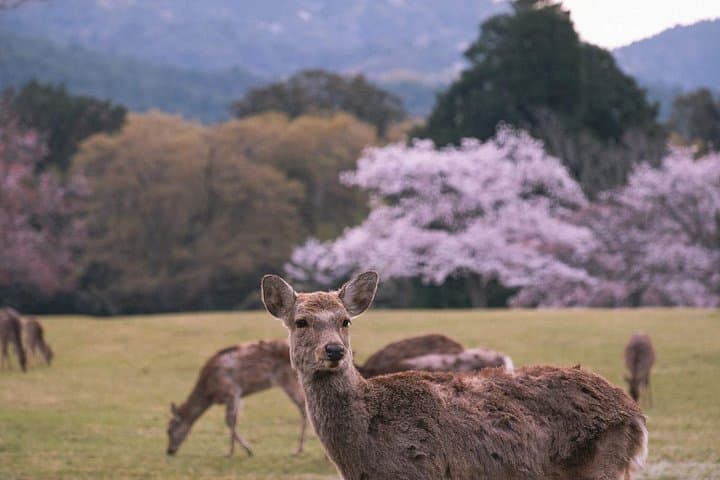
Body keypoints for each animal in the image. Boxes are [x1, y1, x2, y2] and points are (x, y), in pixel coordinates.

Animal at [167, 339, 307, 457]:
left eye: (169, 429)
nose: (169, 451)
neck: (209, 393)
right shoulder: (239, 396)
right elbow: (234, 419)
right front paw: (240, 450)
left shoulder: (231, 391)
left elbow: (229, 420)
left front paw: (236, 451)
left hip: (288, 378)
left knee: (303, 407)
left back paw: (297, 450)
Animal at [261, 271, 648, 480]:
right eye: (301, 321)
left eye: (345, 321)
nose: (334, 351)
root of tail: (634, 414)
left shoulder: (421, 469)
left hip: (602, 464)